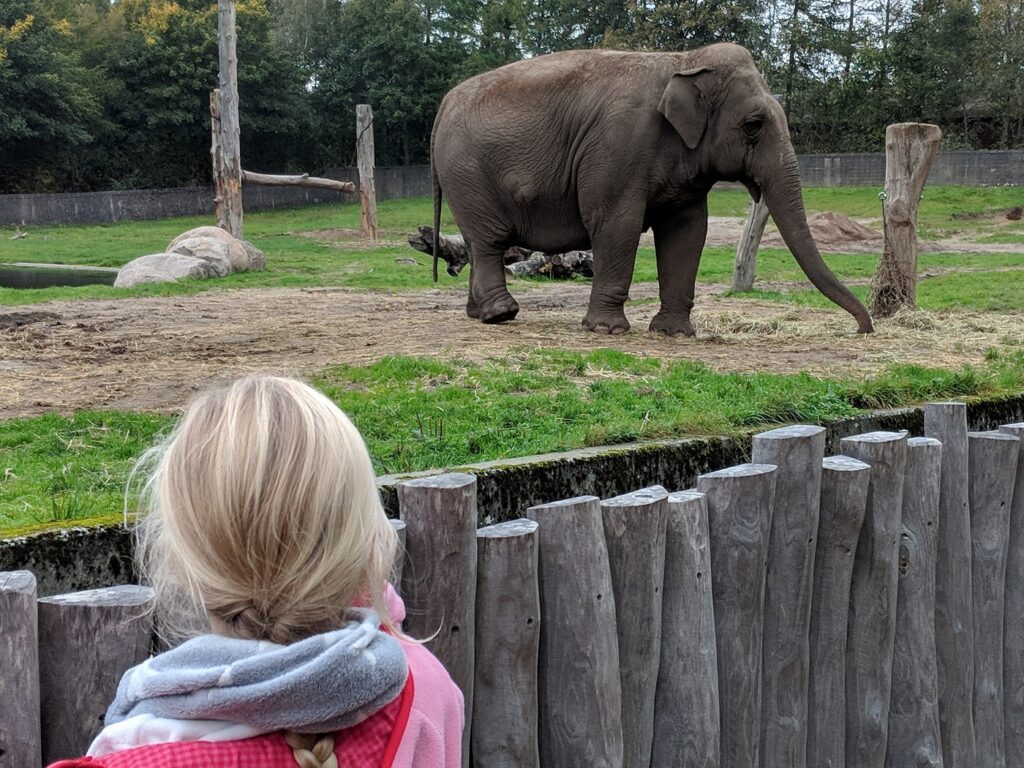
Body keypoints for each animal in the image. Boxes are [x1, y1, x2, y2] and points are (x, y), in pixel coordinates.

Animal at [430, 42, 872, 335]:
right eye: (753, 126)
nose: (863, 328)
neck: (684, 60)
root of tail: (443, 105)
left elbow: (687, 231)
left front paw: (673, 333)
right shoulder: (618, 144)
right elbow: (617, 223)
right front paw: (607, 331)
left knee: (478, 244)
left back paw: (479, 314)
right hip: (468, 173)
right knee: (489, 241)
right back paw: (502, 314)